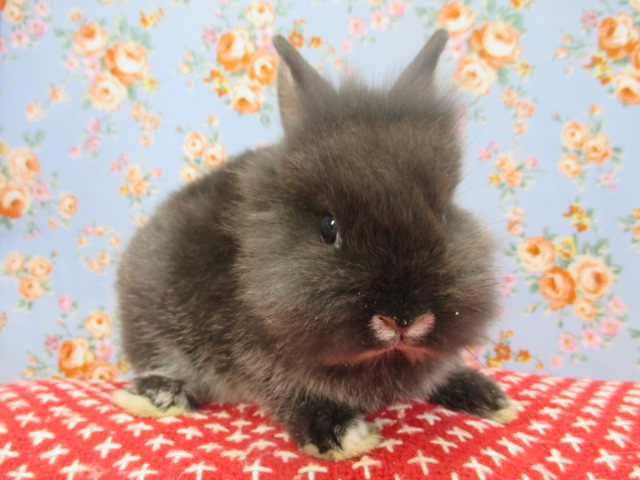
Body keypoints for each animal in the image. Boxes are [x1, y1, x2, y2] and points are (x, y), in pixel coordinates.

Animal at [113, 29, 517, 461]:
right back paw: (159, 396)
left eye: (442, 216)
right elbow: (289, 391)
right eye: (328, 226)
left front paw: (488, 396)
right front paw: (339, 434)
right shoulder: (257, 359)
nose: (404, 319)